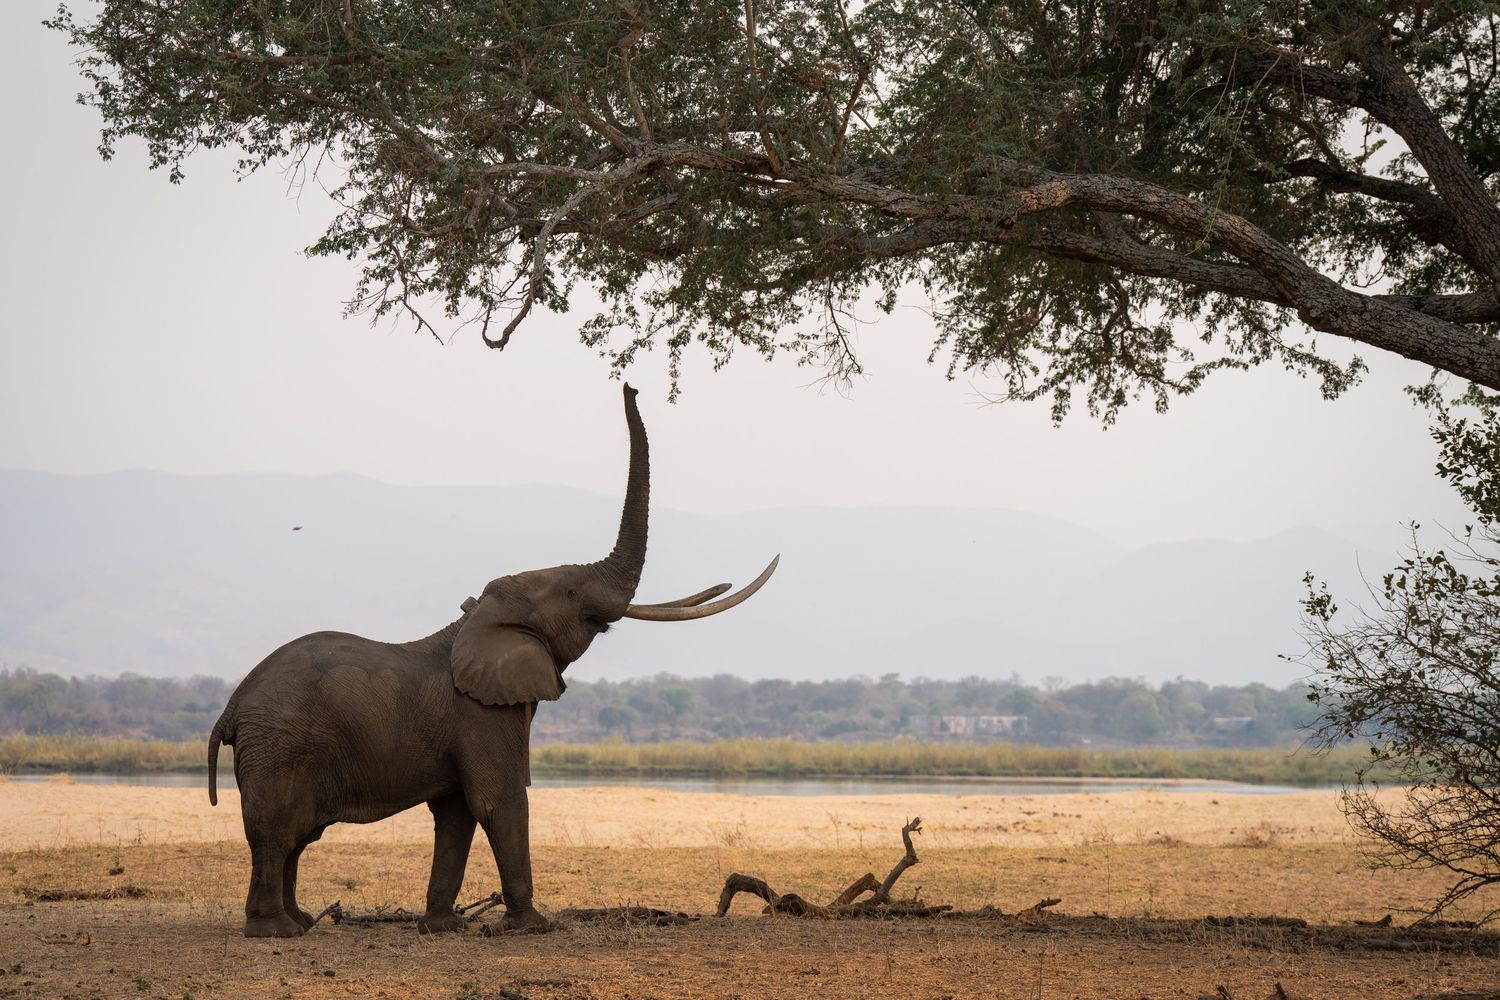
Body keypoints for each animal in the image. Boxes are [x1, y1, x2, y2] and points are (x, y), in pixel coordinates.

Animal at [207, 384, 776, 938]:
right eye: (572, 592)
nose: (629, 385)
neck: (476, 620)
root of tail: (231, 710)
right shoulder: (480, 714)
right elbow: (500, 801)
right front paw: (532, 928)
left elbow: (458, 813)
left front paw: (441, 928)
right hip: (278, 745)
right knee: (276, 830)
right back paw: (276, 932)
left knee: (297, 837)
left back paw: (301, 923)